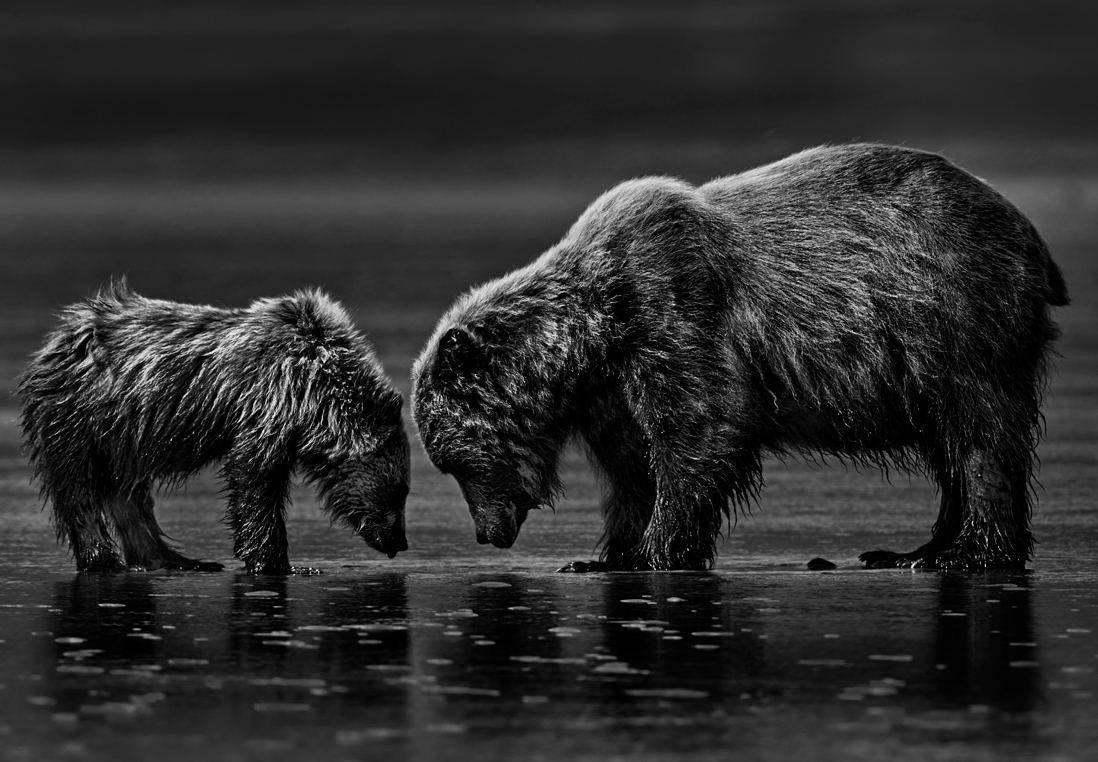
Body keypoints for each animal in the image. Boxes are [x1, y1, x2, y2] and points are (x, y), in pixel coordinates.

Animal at [18, 280, 410, 574]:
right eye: (401, 491)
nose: (401, 542)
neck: (315, 397)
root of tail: (59, 337)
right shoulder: (268, 398)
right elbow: (253, 475)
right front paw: (281, 563)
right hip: (80, 419)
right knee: (79, 489)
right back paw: (103, 559)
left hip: (122, 436)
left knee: (128, 493)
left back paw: (175, 559)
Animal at [411, 142, 1068, 572]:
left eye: (453, 462)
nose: (488, 534)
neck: (594, 334)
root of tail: (1030, 235)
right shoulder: (612, 390)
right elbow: (632, 465)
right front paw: (610, 552)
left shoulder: (673, 307)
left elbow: (704, 427)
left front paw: (655, 551)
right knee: (949, 445)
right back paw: (911, 549)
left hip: (951, 315)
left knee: (979, 433)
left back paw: (967, 552)